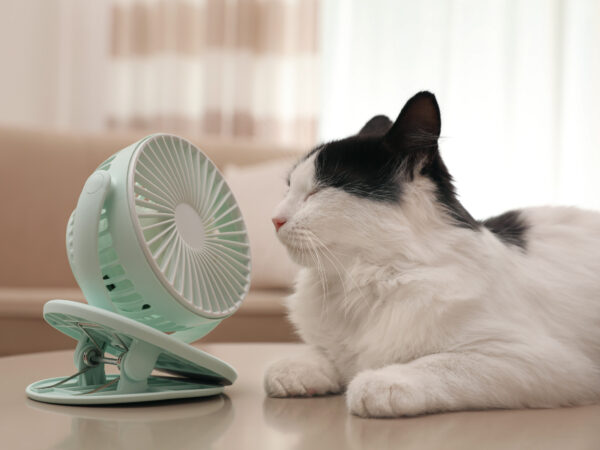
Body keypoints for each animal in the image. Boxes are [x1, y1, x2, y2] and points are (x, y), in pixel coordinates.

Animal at [262, 91, 600, 418]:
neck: (360, 282)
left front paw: (381, 381)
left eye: (317, 191)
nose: (274, 219)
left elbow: (441, 363)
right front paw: (298, 370)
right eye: (289, 188)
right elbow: (321, 354)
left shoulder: (536, 359)